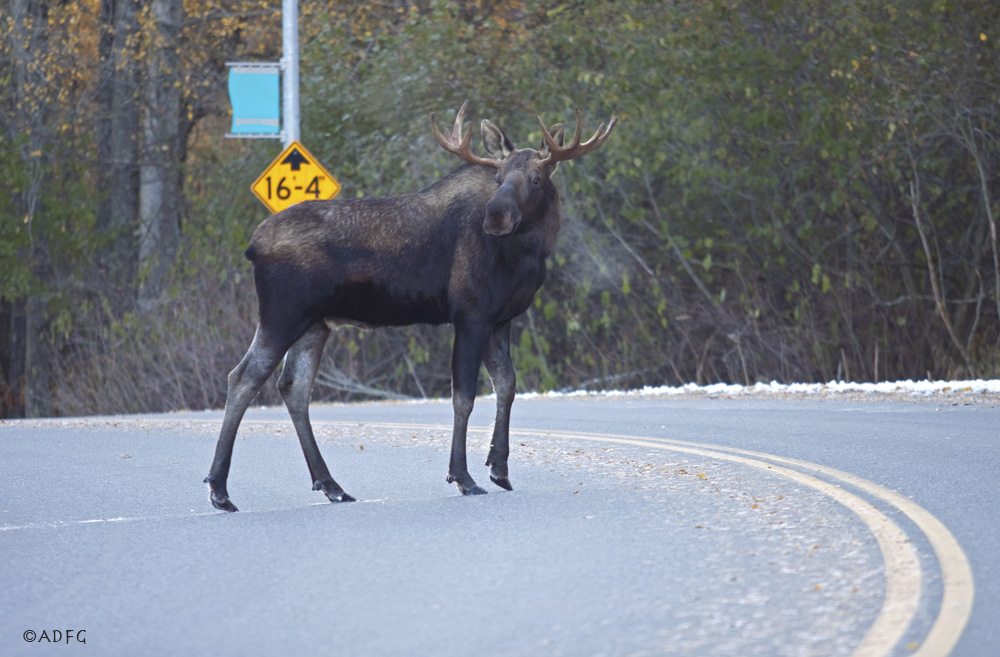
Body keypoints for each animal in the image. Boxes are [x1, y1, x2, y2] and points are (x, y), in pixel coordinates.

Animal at [205, 100, 616, 510]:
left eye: (536, 179)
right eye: (498, 177)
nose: (496, 215)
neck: (529, 254)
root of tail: (253, 246)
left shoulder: (501, 319)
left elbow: (506, 384)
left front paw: (499, 468)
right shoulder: (470, 314)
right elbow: (464, 396)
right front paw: (464, 477)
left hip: (315, 324)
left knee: (293, 387)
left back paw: (331, 485)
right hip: (282, 315)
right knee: (243, 377)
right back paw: (219, 489)